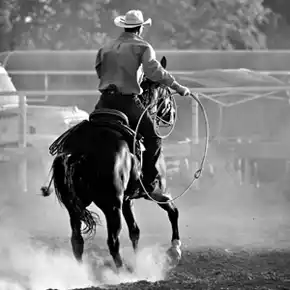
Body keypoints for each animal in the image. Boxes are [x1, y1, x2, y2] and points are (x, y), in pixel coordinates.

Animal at [40, 56, 181, 270]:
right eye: (167, 91)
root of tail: (82, 150)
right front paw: (175, 249)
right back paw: (121, 271)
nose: (171, 115)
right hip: (112, 206)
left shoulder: (127, 199)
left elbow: (135, 231)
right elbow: (173, 211)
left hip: (76, 206)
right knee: (112, 242)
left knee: (77, 240)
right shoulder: (155, 191)